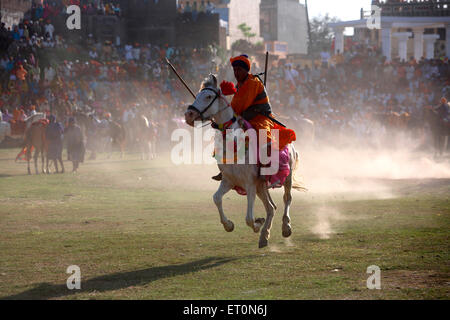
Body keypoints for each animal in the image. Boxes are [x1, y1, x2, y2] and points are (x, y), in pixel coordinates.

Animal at [185, 74, 304, 248]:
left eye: (208, 96)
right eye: (198, 94)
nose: (189, 115)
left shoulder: (250, 184)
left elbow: (249, 218)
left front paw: (257, 224)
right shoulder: (229, 181)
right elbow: (216, 198)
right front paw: (229, 225)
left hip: (285, 177)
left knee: (286, 199)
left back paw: (286, 227)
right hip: (262, 186)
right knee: (271, 208)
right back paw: (264, 235)